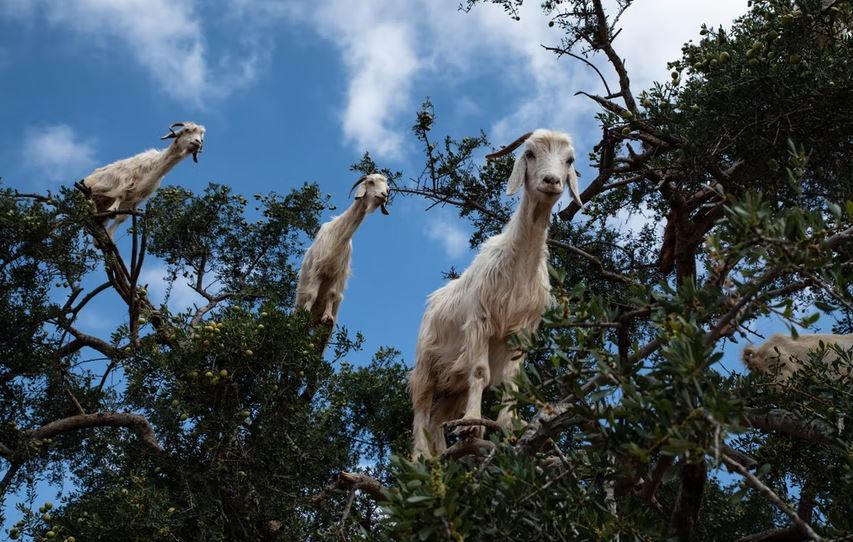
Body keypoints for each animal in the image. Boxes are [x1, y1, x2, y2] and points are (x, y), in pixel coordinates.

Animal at [76, 124, 206, 241]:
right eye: (187, 130)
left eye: (201, 137)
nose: (198, 142)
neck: (155, 166)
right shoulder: (125, 181)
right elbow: (120, 196)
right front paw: (112, 210)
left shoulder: (138, 198)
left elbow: (122, 218)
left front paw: (108, 236)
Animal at [296, 174, 390, 328]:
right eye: (370, 182)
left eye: (388, 188)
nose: (384, 195)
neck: (338, 234)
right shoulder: (318, 268)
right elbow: (312, 293)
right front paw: (306, 311)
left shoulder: (337, 273)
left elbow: (332, 294)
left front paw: (327, 317)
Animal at [410, 131, 584, 460]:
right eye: (529, 154)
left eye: (569, 160)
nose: (552, 181)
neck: (519, 267)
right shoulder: (479, 322)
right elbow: (480, 372)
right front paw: (471, 425)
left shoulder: (523, 330)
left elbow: (512, 380)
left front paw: (509, 425)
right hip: (426, 364)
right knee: (421, 410)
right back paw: (420, 458)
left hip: (455, 383)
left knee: (438, 417)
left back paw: (442, 458)